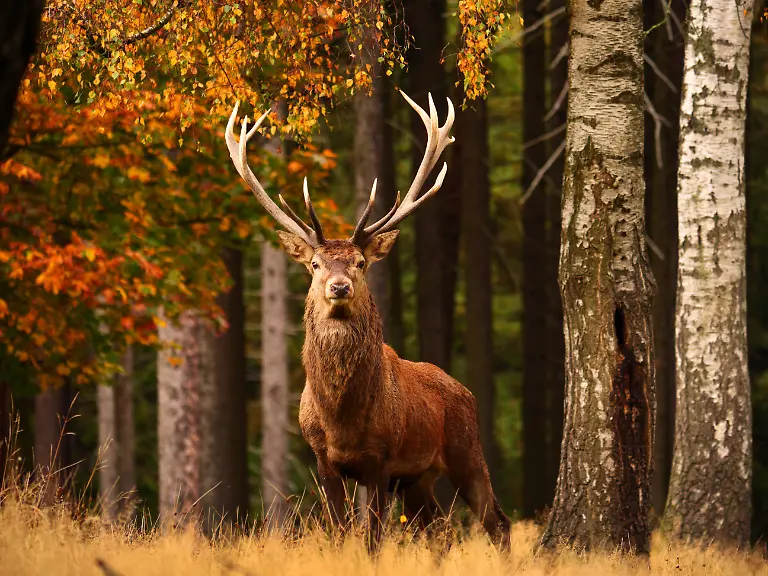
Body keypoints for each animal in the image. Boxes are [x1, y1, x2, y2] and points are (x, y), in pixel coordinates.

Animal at [224, 90, 511, 552]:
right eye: (316, 264)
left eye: (360, 262)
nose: (339, 286)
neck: (342, 420)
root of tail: (464, 391)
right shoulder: (323, 459)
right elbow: (342, 533)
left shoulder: (382, 459)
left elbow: (372, 539)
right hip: (417, 481)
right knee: (440, 532)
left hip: (466, 448)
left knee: (497, 522)